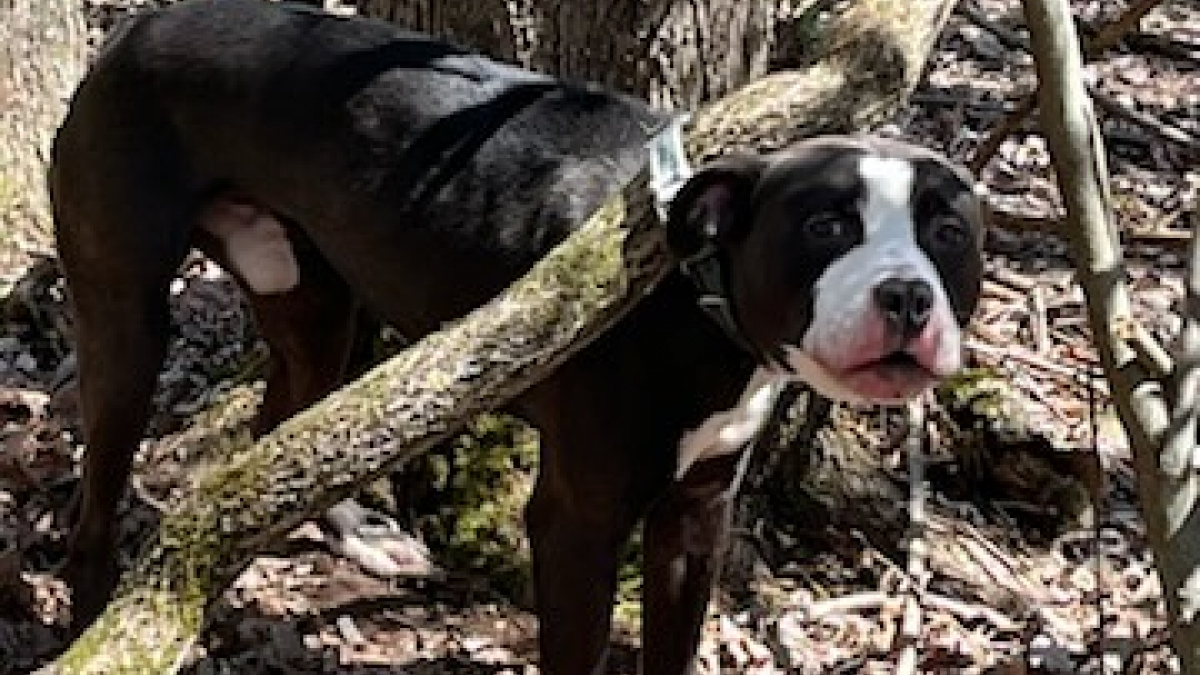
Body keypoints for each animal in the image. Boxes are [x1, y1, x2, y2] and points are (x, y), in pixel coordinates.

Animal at [49, 2, 984, 667]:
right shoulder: (575, 521)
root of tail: (137, 27)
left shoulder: (697, 511)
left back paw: (354, 533)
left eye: (949, 233)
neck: (694, 297)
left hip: (317, 308)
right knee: (96, 503)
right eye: (825, 226)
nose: (906, 295)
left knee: (285, 429)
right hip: (127, 318)